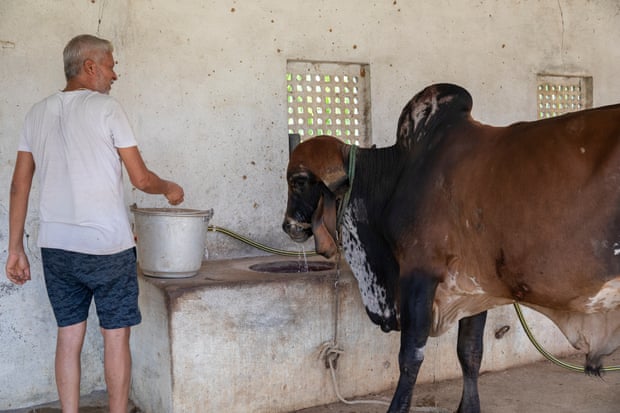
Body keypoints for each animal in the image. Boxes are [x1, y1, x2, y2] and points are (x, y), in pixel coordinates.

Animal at [284, 82, 620, 410]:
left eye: (298, 181)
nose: (288, 226)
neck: (398, 175)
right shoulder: (475, 286)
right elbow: (470, 353)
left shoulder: (419, 273)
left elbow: (411, 356)